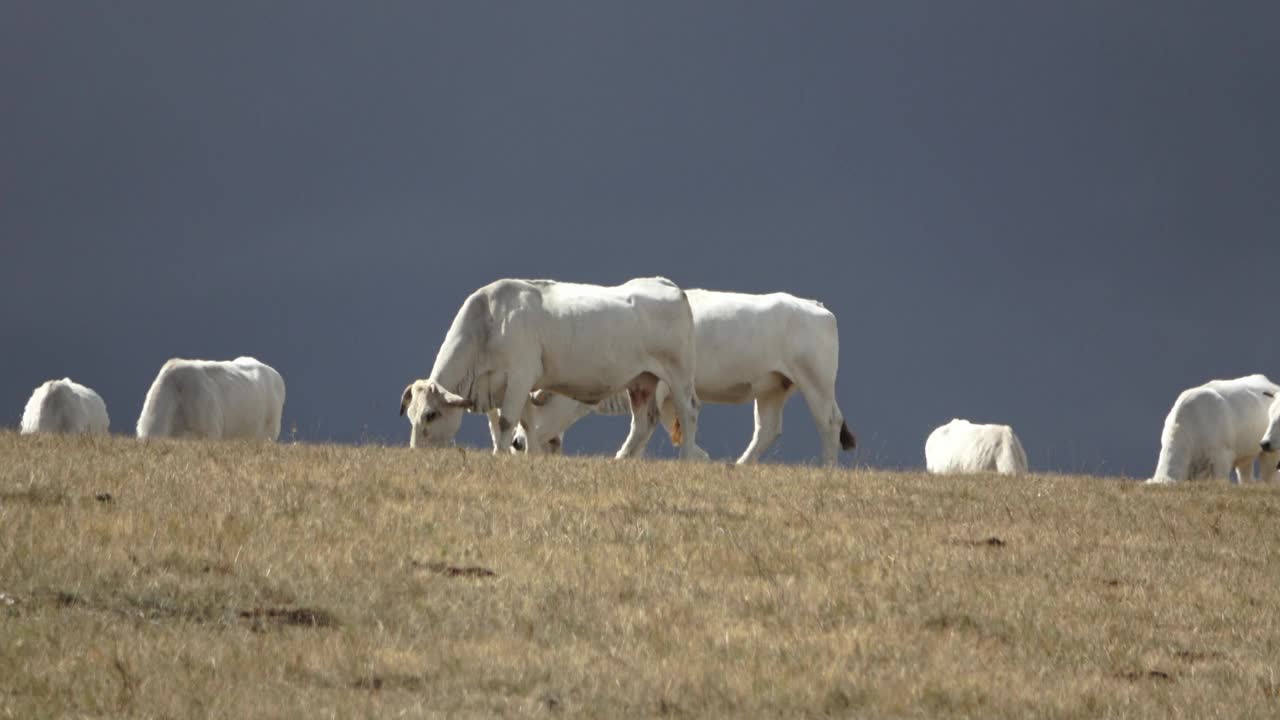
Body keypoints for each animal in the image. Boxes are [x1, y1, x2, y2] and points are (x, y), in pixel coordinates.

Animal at [396, 278, 701, 456]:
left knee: (688, 415)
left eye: (431, 414)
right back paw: (621, 460)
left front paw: (500, 457)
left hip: (679, 374)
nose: (416, 452)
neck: (489, 323)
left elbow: (508, 422)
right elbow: (520, 425)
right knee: (642, 423)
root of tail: (667, 284)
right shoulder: (508, 386)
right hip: (641, 381)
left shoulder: (520, 376)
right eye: (410, 414)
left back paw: (685, 459)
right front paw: (527, 456)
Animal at [509, 286, 860, 461]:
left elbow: (653, 424)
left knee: (829, 422)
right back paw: (739, 466)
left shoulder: (663, 386)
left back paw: (827, 469)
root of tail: (814, 305)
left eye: (541, 400)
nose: (516, 443)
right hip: (772, 388)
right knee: (767, 429)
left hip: (815, 381)